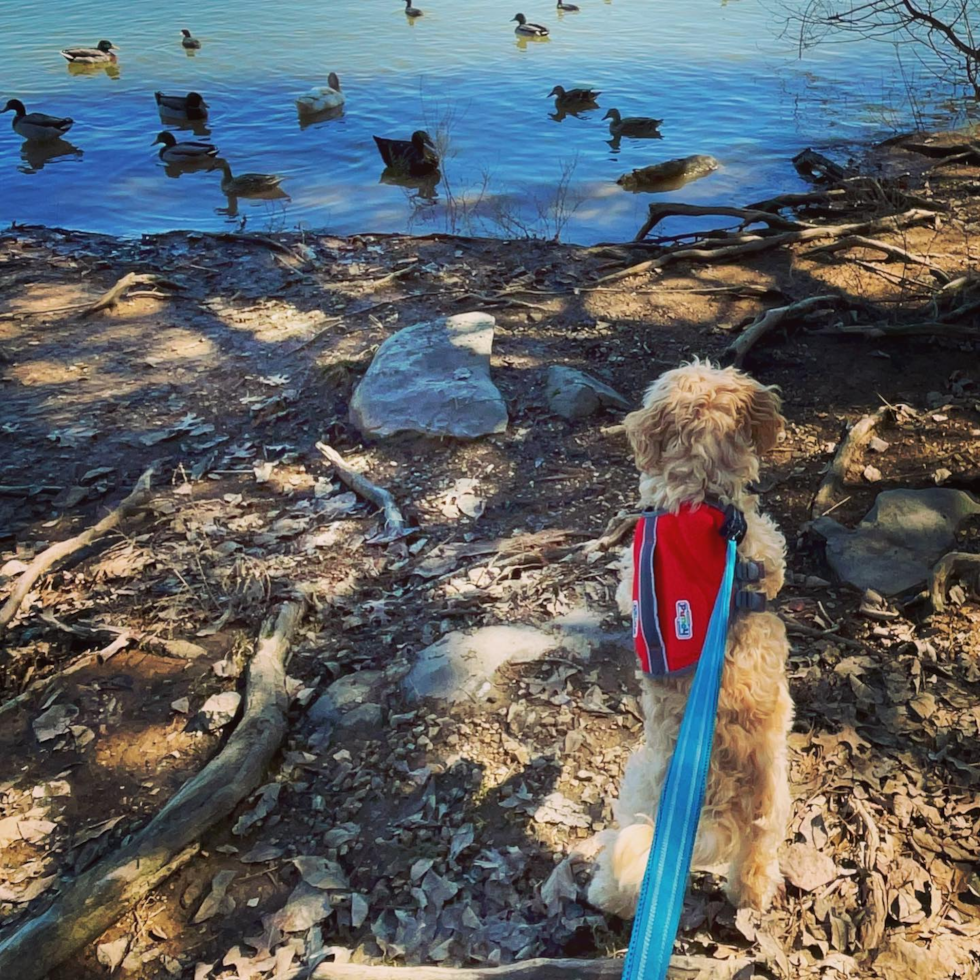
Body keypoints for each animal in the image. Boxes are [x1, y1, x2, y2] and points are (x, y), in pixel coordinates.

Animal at [584, 360, 792, 920]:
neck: (704, 497)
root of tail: (719, 793)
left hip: (639, 787)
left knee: (628, 861)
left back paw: (604, 895)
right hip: (772, 806)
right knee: (756, 862)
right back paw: (751, 898)